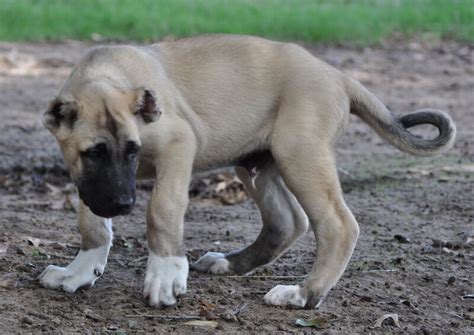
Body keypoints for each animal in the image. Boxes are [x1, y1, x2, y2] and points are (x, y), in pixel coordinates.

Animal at [38, 34, 456, 310]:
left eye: (133, 150)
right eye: (93, 152)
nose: (124, 204)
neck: (107, 75)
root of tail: (337, 75)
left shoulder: (178, 144)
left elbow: (162, 211)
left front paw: (166, 275)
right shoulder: (91, 182)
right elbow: (91, 221)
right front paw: (79, 271)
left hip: (298, 154)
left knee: (338, 225)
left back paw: (304, 294)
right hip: (257, 163)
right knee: (287, 222)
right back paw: (233, 263)